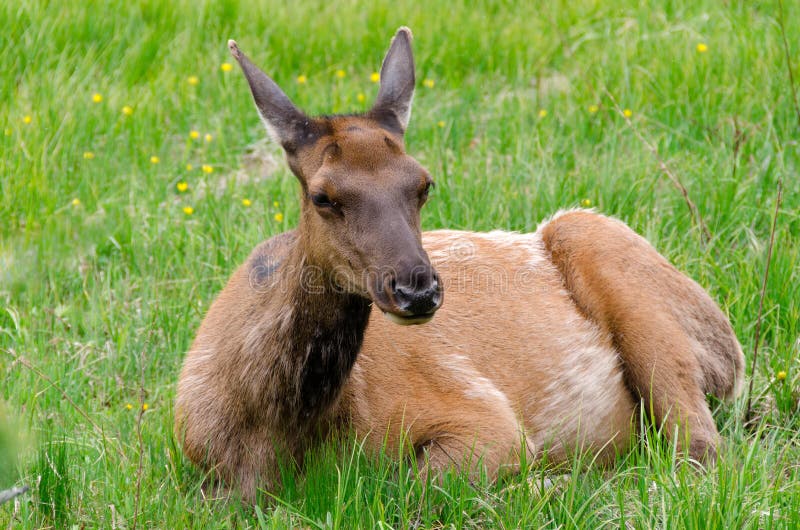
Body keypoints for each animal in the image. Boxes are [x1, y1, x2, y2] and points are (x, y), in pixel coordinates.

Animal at [173, 27, 744, 500]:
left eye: (423, 183)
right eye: (322, 196)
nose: (417, 290)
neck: (272, 440)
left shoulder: (481, 413)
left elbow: (412, 488)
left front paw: (542, 483)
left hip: (613, 264)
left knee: (700, 448)